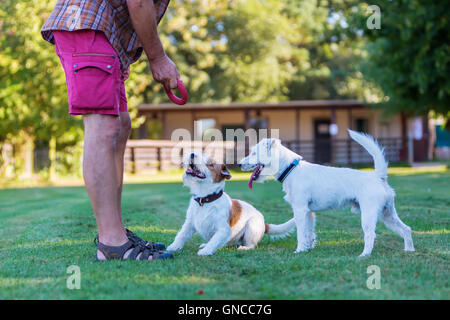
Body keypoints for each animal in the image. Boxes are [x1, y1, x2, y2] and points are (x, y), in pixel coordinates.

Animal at [166, 152, 296, 255]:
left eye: (210, 164)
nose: (192, 154)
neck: (205, 199)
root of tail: (265, 224)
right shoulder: (189, 224)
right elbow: (181, 235)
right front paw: (174, 247)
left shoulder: (223, 229)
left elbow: (215, 240)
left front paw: (206, 251)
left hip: (251, 226)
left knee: (252, 245)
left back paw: (244, 248)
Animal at [239, 130, 414, 258]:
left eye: (254, 153)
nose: (239, 164)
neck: (291, 168)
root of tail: (378, 176)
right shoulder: (309, 212)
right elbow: (309, 232)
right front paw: (307, 248)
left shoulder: (300, 210)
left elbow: (301, 233)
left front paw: (299, 250)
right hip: (388, 214)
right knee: (406, 229)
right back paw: (409, 250)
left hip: (369, 215)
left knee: (370, 235)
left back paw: (364, 255)